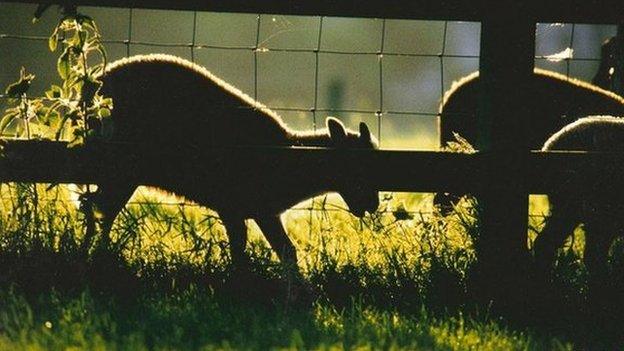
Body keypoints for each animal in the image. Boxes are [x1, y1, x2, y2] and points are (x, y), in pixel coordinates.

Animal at [91, 53, 380, 272]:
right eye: (359, 165)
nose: (372, 205)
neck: (290, 153)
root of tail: (97, 82)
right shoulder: (231, 205)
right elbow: (240, 253)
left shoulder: (263, 210)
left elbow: (286, 251)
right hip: (120, 170)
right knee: (99, 211)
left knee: (97, 209)